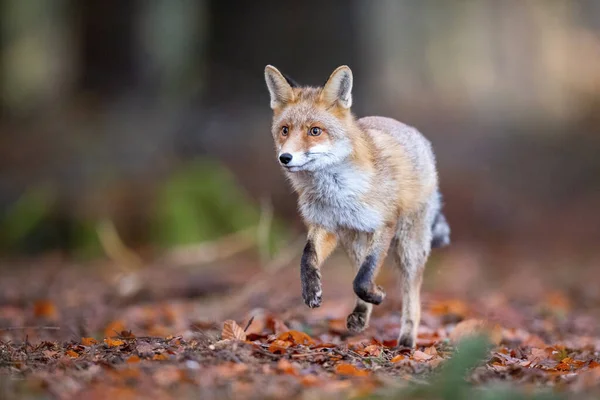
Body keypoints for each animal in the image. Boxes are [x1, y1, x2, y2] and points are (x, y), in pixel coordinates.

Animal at [264, 65, 450, 346]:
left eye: (315, 131)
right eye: (285, 130)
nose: (285, 157)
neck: (336, 194)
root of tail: (416, 135)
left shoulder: (384, 224)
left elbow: (363, 279)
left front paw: (377, 294)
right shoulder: (326, 225)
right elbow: (308, 257)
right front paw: (311, 290)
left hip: (408, 247)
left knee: (412, 297)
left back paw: (407, 342)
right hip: (354, 241)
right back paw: (361, 316)